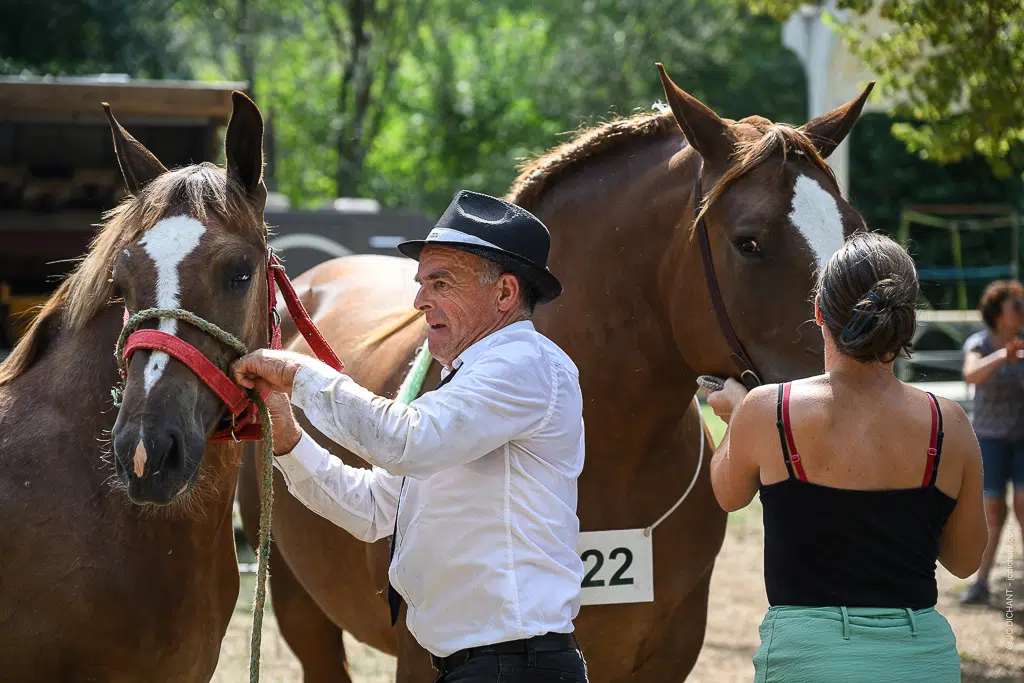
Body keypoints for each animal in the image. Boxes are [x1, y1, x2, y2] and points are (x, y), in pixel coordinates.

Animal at [237, 63, 873, 682]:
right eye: (749, 242)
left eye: (852, 228)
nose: (837, 395)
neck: (612, 461)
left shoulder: (672, 651)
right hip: (299, 610)